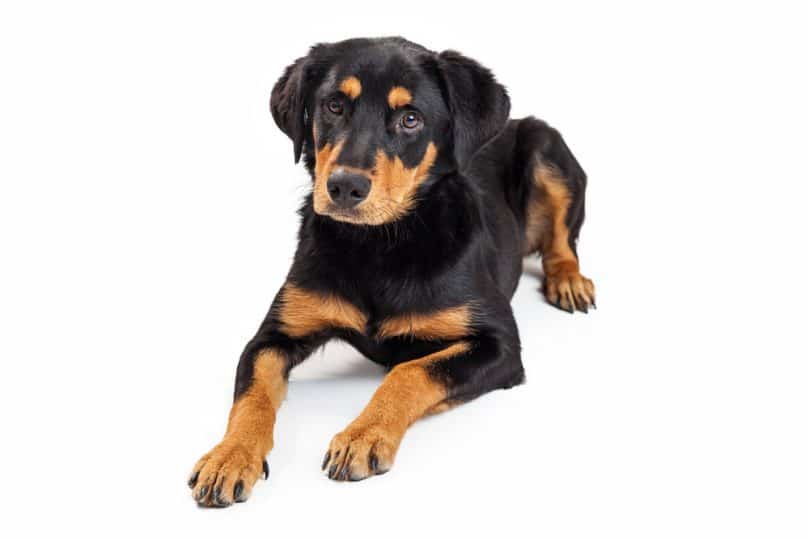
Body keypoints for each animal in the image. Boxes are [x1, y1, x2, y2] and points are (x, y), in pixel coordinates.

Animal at [189, 38, 592, 506]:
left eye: (410, 118)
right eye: (333, 105)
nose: (344, 186)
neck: (379, 244)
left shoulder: (500, 345)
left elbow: (410, 371)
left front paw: (363, 437)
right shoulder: (274, 335)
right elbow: (250, 397)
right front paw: (229, 457)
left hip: (546, 147)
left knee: (561, 241)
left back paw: (569, 281)